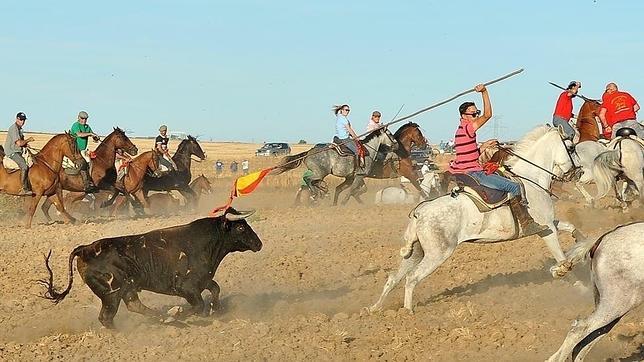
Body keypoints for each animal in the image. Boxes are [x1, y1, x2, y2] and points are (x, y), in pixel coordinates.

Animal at [39, 208, 262, 330]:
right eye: (240, 227)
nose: (259, 244)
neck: (205, 242)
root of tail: (85, 248)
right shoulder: (186, 287)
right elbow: (198, 305)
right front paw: (177, 313)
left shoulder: (203, 280)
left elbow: (215, 288)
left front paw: (216, 310)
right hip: (111, 293)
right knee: (107, 317)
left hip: (126, 289)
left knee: (133, 306)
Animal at [372, 126, 580, 312]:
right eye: (571, 147)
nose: (579, 171)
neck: (531, 179)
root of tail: (420, 212)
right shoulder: (546, 229)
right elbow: (561, 258)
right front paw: (573, 279)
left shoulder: (548, 224)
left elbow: (570, 227)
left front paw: (580, 240)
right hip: (437, 254)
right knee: (412, 278)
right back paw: (407, 312)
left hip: (417, 252)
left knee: (394, 278)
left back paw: (375, 308)